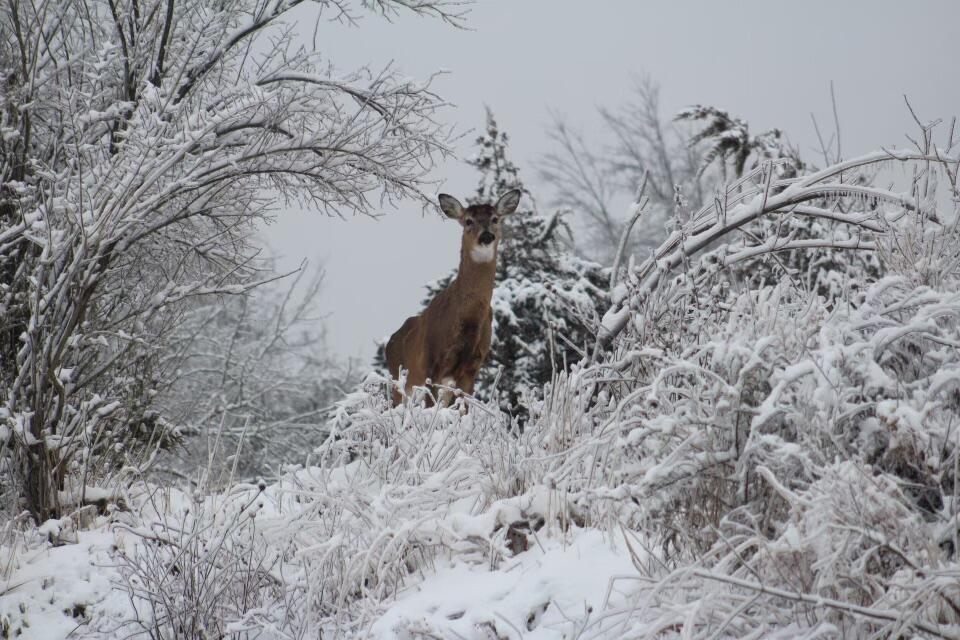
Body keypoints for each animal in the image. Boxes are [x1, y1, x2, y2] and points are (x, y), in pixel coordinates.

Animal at [385, 189, 521, 407]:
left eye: (495, 218)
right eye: (468, 221)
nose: (486, 236)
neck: (467, 324)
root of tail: (390, 342)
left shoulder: (472, 368)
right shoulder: (431, 363)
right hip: (400, 378)